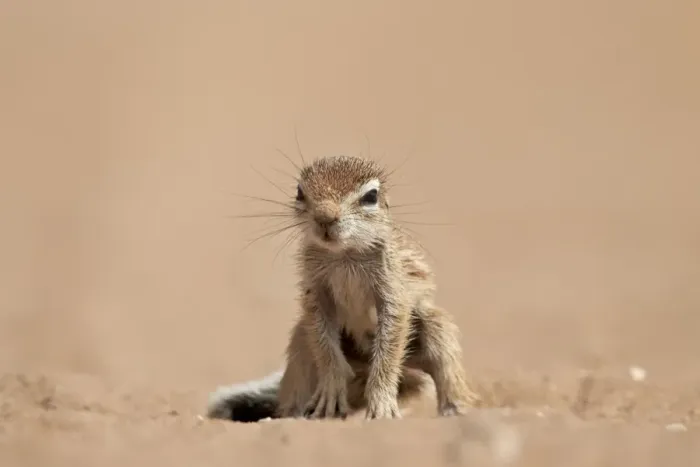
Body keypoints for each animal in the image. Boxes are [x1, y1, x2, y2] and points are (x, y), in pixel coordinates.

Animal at [207, 154, 480, 421]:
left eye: (371, 196)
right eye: (299, 191)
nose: (325, 216)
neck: (344, 254)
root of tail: (361, 365)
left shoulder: (392, 288)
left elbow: (390, 346)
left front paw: (382, 405)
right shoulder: (315, 291)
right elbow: (325, 349)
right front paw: (330, 392)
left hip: (434, 327)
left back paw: (455, 408)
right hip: (301, 340)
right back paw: (296, 414)